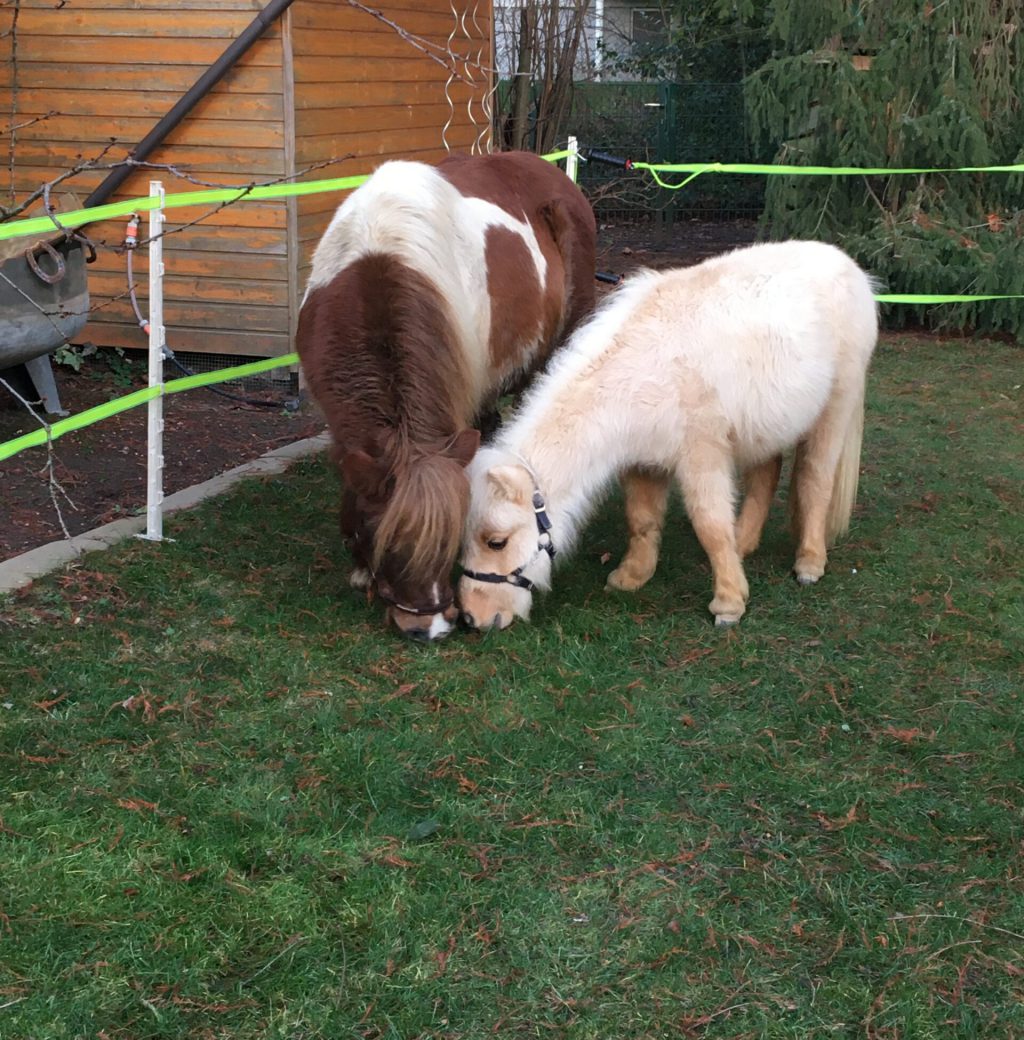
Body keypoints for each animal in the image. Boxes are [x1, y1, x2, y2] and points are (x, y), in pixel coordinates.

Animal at [295, 149, 594, 636]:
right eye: (387, 545)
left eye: (452, 542)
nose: (430, 628)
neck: (376, 265)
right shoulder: (342, 424)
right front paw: (358, 564)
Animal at [459, 240, 873, 628]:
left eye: (496, 541)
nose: (472, 618)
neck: (639, 371)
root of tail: (851, 269)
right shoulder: (644, 461)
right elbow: (642, 519)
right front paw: (632, 576)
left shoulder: (701, 457)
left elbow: (710, 523)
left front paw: (729, 603)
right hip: (766, 425)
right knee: (766, 475)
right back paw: (743, 543)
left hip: (835, 409)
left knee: (815, 480)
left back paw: (809, 562)